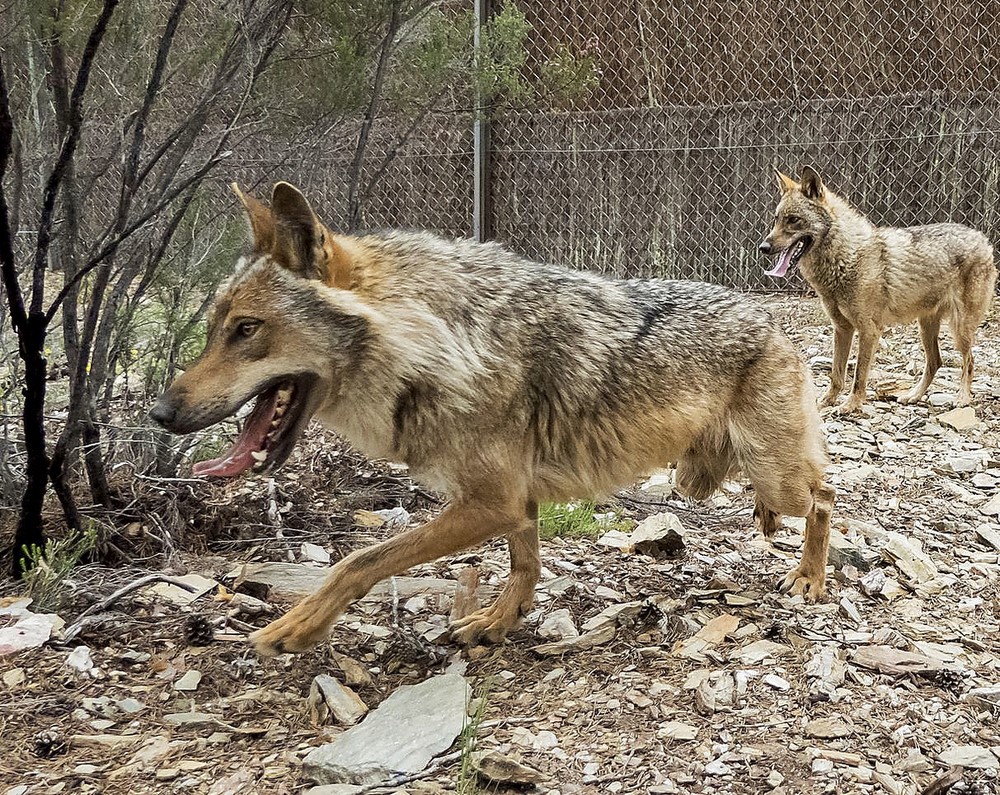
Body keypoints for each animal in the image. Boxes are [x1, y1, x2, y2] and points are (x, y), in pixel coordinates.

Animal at [150, 182, 836, 660]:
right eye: (214, 329)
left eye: (246, 330)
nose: (160, 412)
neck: (439, 343)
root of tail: (773, 319)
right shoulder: (514, 502)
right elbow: (523, 565)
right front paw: (498, 623)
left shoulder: (487, 502)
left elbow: (360, 560)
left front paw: (296, 626)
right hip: (721, 476)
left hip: (773, 473)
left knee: (826, 496)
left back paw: (809, 579)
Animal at [760, 168, 996, 416]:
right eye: (776, 219)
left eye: (793, 220)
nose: (763, 247)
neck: (847, 257)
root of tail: (983, 238)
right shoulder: (842, 329)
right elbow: (836, 374)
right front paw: (825, 402)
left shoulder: (869, 330)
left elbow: (858, 375)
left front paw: (851, 405)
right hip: (926, 328)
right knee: (936, 362)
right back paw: (913, 396)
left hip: (960, 330)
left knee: (969, 361)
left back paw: (962, 398)